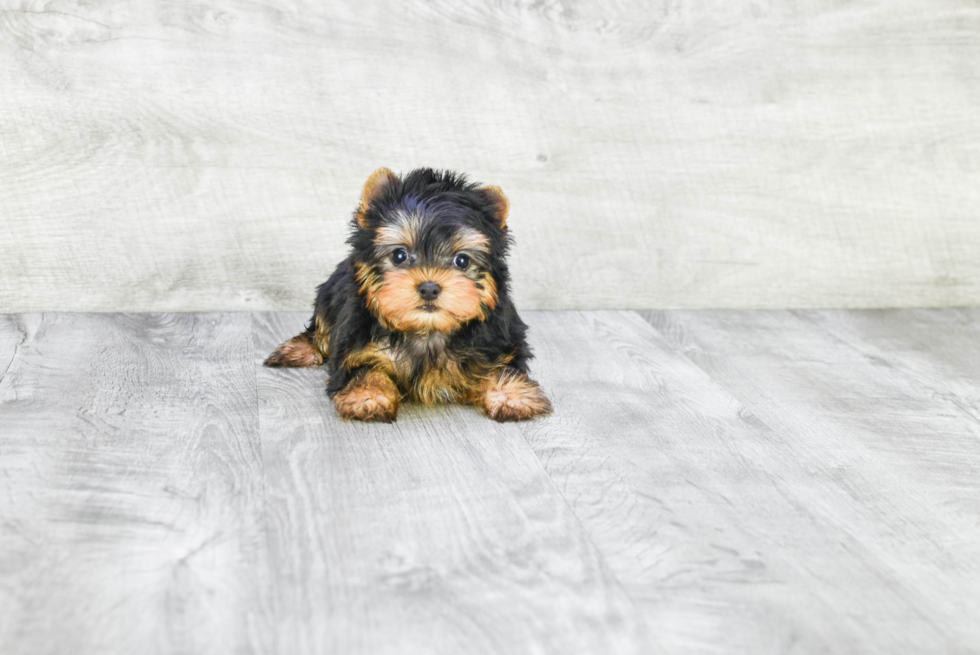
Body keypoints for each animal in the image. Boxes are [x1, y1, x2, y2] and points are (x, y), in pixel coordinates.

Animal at [264, 169, 552, 422]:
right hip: (329, 293)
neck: (426, 331)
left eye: (461, 260)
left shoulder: (502, 342)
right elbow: (366, 368)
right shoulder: (353, 346)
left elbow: (503, 367)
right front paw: (368, 397)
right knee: (320, 327)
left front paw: (512, 396)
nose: (429, 287)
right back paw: (299, 349)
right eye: (399, 255)